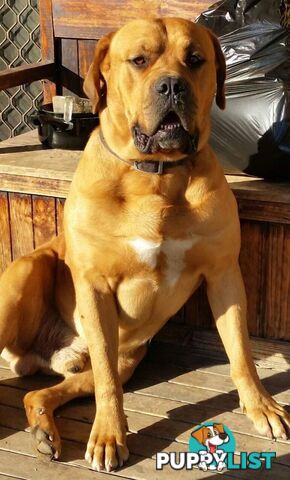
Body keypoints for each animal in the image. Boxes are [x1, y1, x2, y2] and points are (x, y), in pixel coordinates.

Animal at [0, 17, 290, 472]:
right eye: (139, 60)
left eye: (195, 59)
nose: (172, 85)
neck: (156, 176)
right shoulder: (95, 287)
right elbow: (107, 384)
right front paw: (108, 435)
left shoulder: (224, 274)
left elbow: (241, 351)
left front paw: (261, 406)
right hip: (26, 274)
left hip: (121, 361)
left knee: (39, 392)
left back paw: (45, 433)